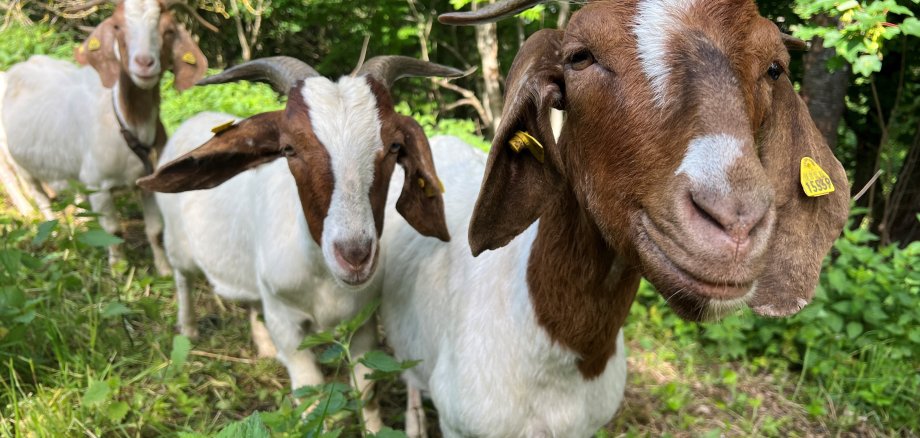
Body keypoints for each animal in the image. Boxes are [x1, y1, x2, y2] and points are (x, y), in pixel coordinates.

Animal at [2, 0, 208, 274]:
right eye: (118, 27)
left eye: (169, 30)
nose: (144, 62)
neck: (128, 123)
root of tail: (19, 67)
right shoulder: (98, 185)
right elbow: (113, 230)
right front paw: (119, 267)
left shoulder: (148, 181)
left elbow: (155, 230)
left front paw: (163, 270)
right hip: (19, 162)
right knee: (37, 195)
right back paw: (50, 230)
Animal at [136, 54, 460, 432]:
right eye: (289, 148)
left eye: (395, 146)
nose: (355, 255)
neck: (322, 277)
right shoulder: (286, 322)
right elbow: (311, 395)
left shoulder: (362, 324)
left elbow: (365, 389)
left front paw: (375, 429)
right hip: (179, 244)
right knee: (182, 278)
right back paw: (187, 330)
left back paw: (262, 347)